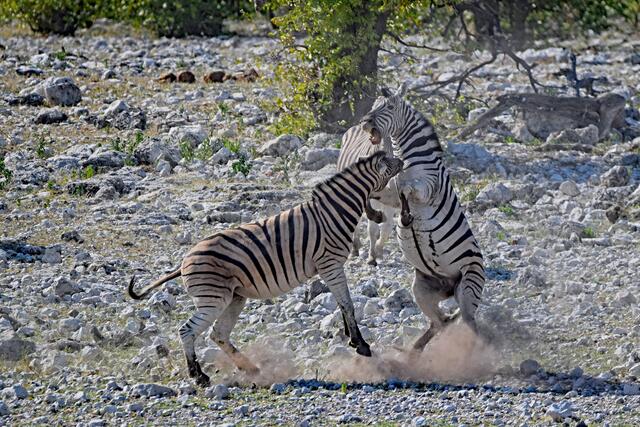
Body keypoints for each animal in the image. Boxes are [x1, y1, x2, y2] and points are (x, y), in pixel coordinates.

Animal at [127, 152, 404, 387]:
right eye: (391, 163)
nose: (402, 161)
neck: (336, 210)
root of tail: (184, 262)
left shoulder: (330, 267)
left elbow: (341, 303)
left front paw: (350, 337)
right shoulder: (330, 263)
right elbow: (347, 303)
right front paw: (361, 344)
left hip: (234, 297)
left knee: (218, 334)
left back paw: (250, 368)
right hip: (213, 298)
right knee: (187, 330)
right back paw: (199, 376)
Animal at [355, 82, 486, 352]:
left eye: (389, 107)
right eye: (373, 104)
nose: (364, 123)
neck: (411, 160)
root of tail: (450, 289)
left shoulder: (426, 188)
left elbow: (408, 191)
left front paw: (406, 219)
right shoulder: (389, 192)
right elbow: (374, 193)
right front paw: (376, 214)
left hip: (468, 287)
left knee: (468, 324)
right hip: (422, 289)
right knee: (440, 322)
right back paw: (411, 352)